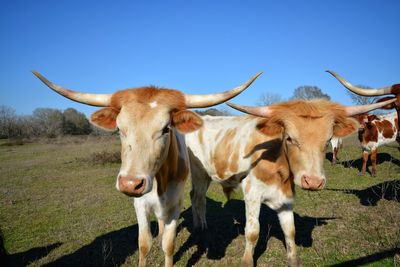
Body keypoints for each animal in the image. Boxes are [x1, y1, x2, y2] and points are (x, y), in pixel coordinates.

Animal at [32, 70, 260, 267]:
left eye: (166, 128)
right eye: (119, 129)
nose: (130, 183)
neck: (159, 181)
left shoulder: (175, 204)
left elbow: (168, 244)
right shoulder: (139, 204)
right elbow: (144, 244)